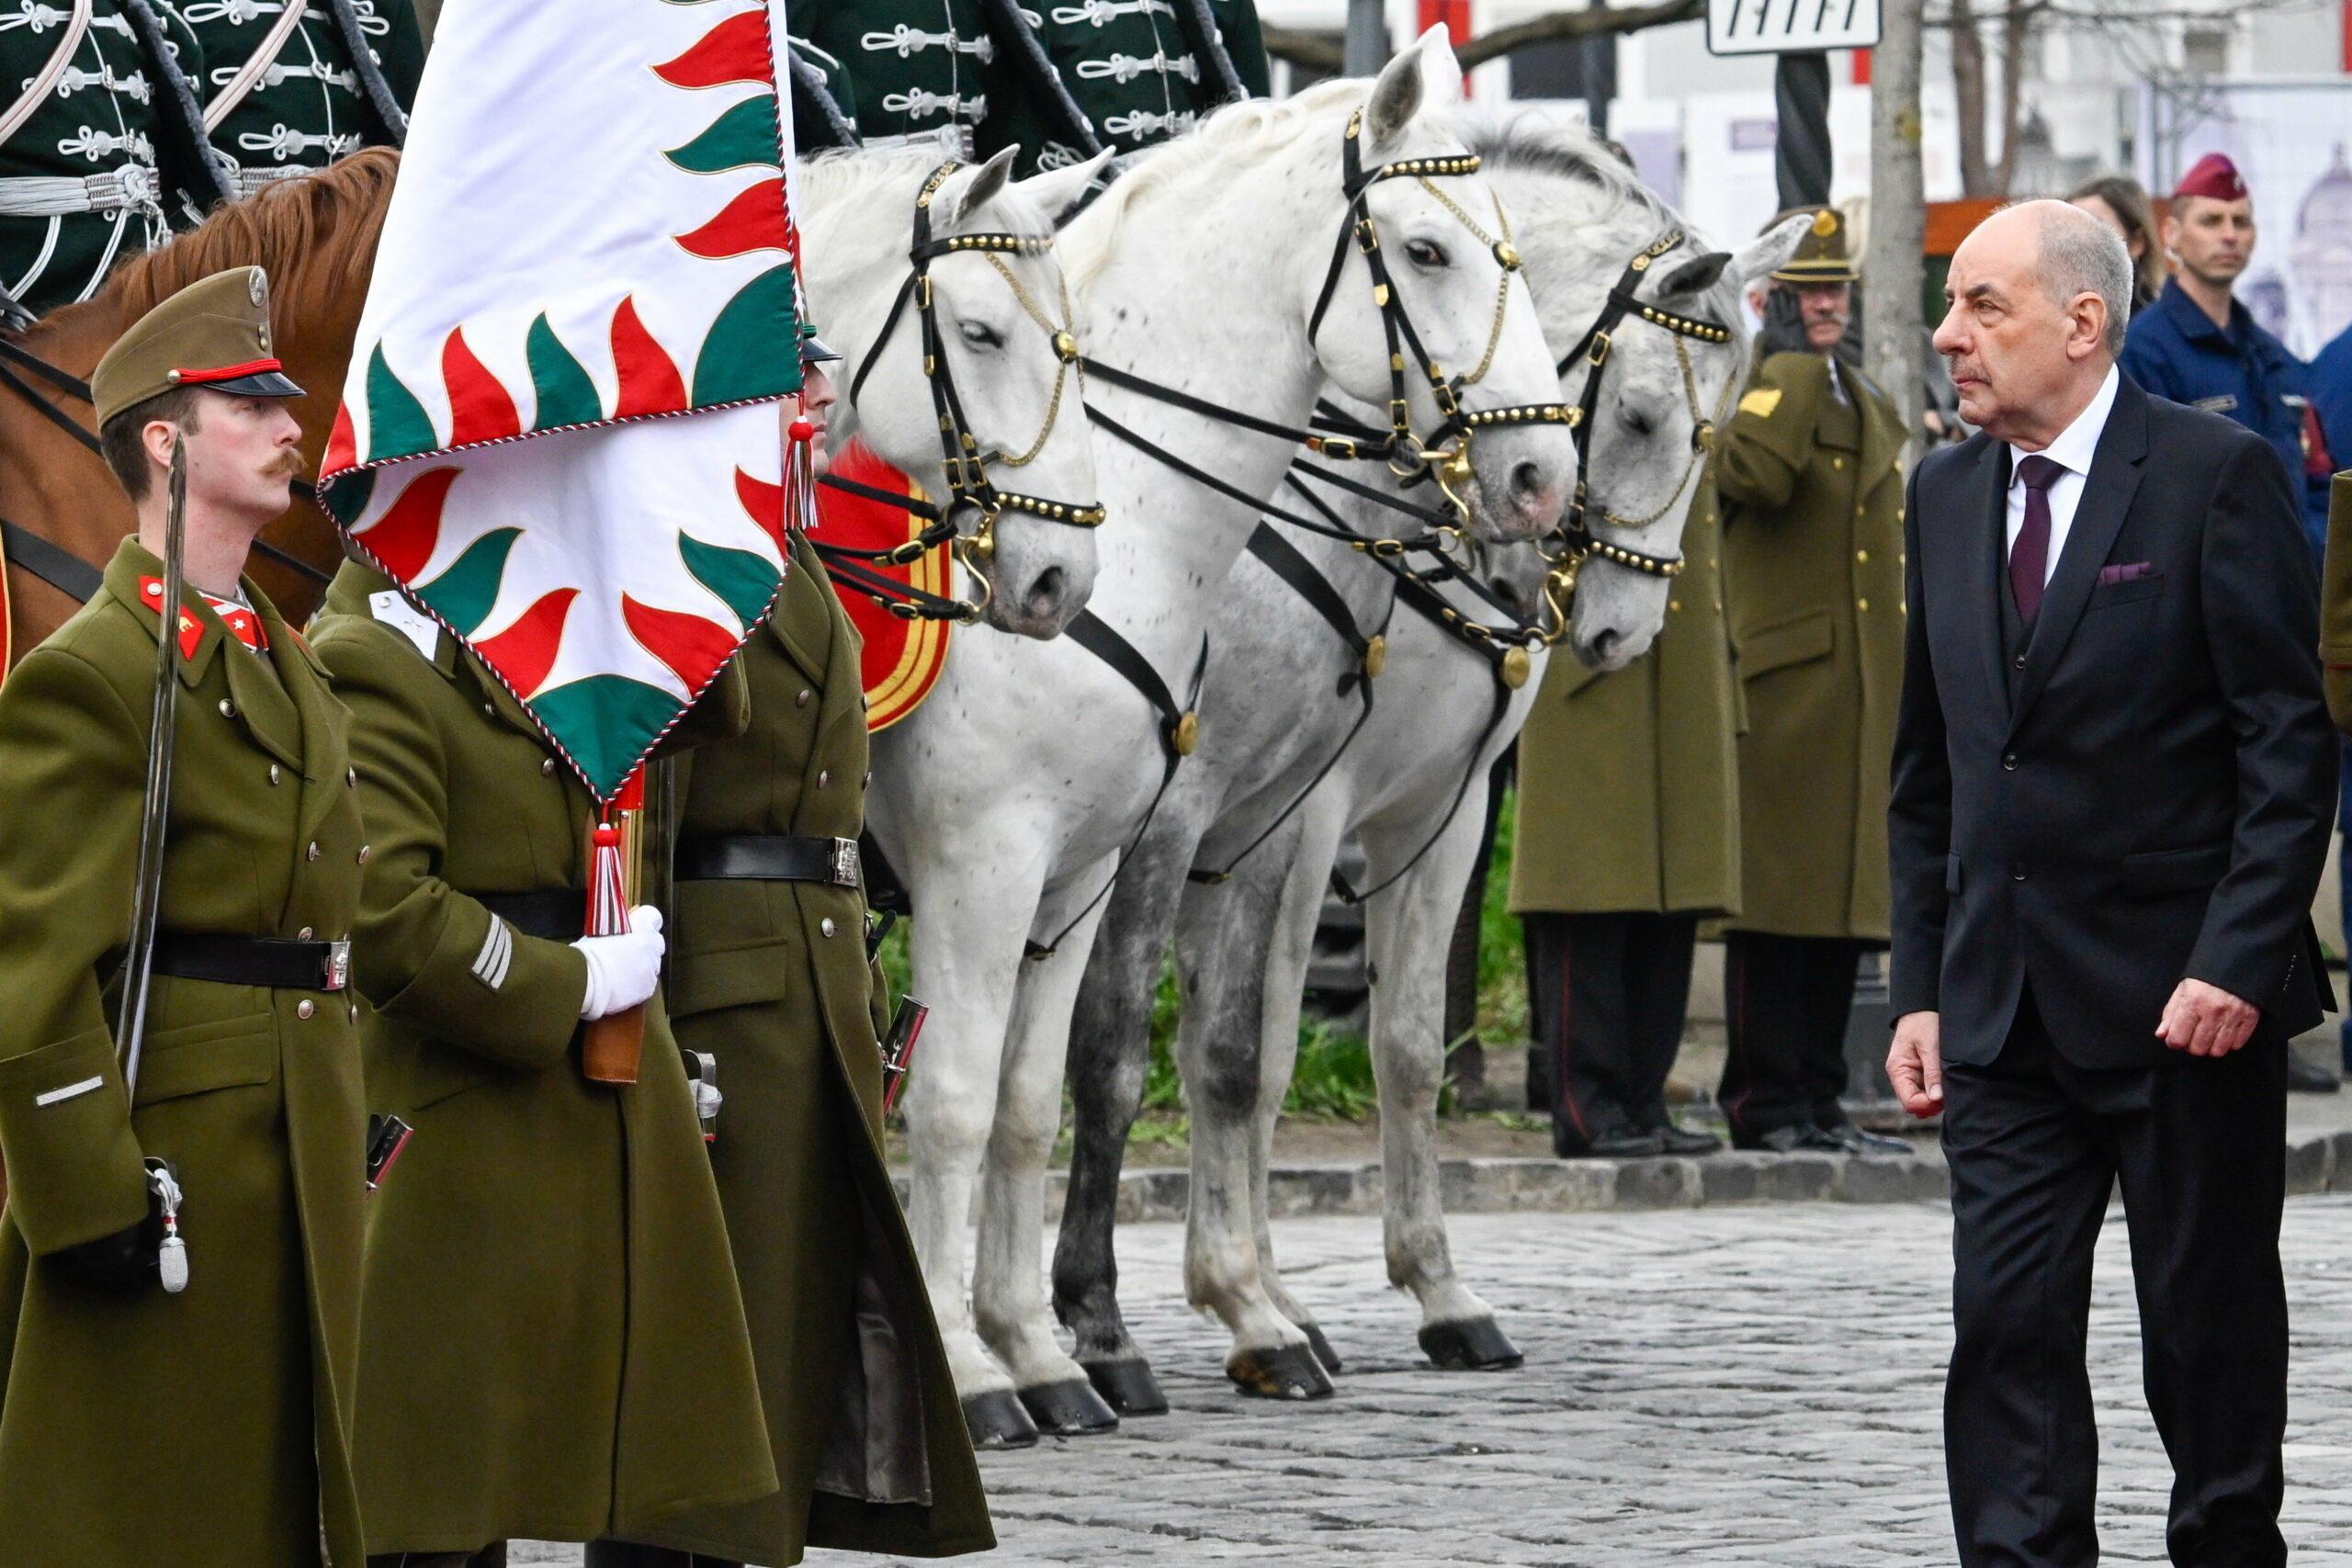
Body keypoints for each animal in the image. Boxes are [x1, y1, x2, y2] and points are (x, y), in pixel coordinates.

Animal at [865, 33, 1580, 1448]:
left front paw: (1071, 1344)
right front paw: (1016, 1362)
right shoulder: (1017, 859)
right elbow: (1017, 1086)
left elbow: (1093, 1084)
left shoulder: (1134, 857)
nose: (1542, 480)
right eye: (1426, 250)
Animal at [1058, 113, 1806, 1410]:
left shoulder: (1433, 817)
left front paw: (1425, 1292)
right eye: (1645, 417)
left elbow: (1398, 1046)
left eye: (1717, 433)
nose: (1619, 635)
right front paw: (1251, 1304)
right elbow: (1249, 1052)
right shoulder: (1276, 816)